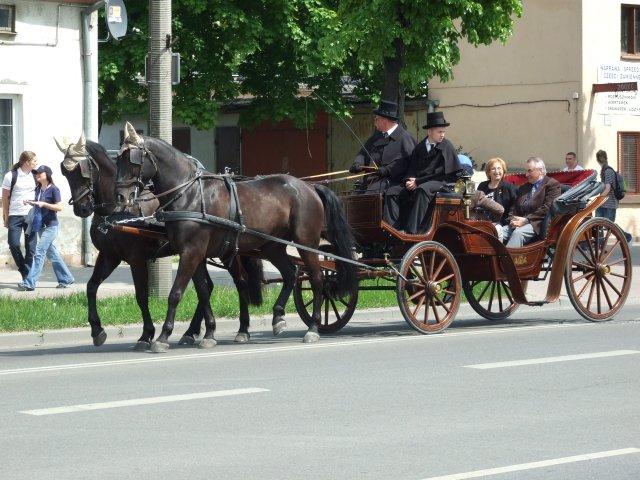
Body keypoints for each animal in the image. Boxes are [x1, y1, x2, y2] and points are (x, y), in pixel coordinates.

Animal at [55, 135, 262, 348]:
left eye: (83, 170)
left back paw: (242, 328)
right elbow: (91, 287)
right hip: (200, 253)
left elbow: (141, 295)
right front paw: (97, 330)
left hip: (227, 252)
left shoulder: (136, 259)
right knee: (207, 287)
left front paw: (147, 334)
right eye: (65, 172)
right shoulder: (109, 257)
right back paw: (191, 332)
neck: (117, 211)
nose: (81, 208)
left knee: (240, 283)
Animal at [114, 122, 356, 350]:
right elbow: (203, 291)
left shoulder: (191, 252)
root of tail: (309, 187)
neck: (188, 194)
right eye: (118, 159)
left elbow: (176, 293)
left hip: (306, 243)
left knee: (316, 278)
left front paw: (163, 337)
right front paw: (208, 333)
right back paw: (278, 317)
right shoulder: (196, 254)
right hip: (272, 246)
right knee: (290, 273)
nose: (121, 196)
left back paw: (313, 327)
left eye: (133, 160)